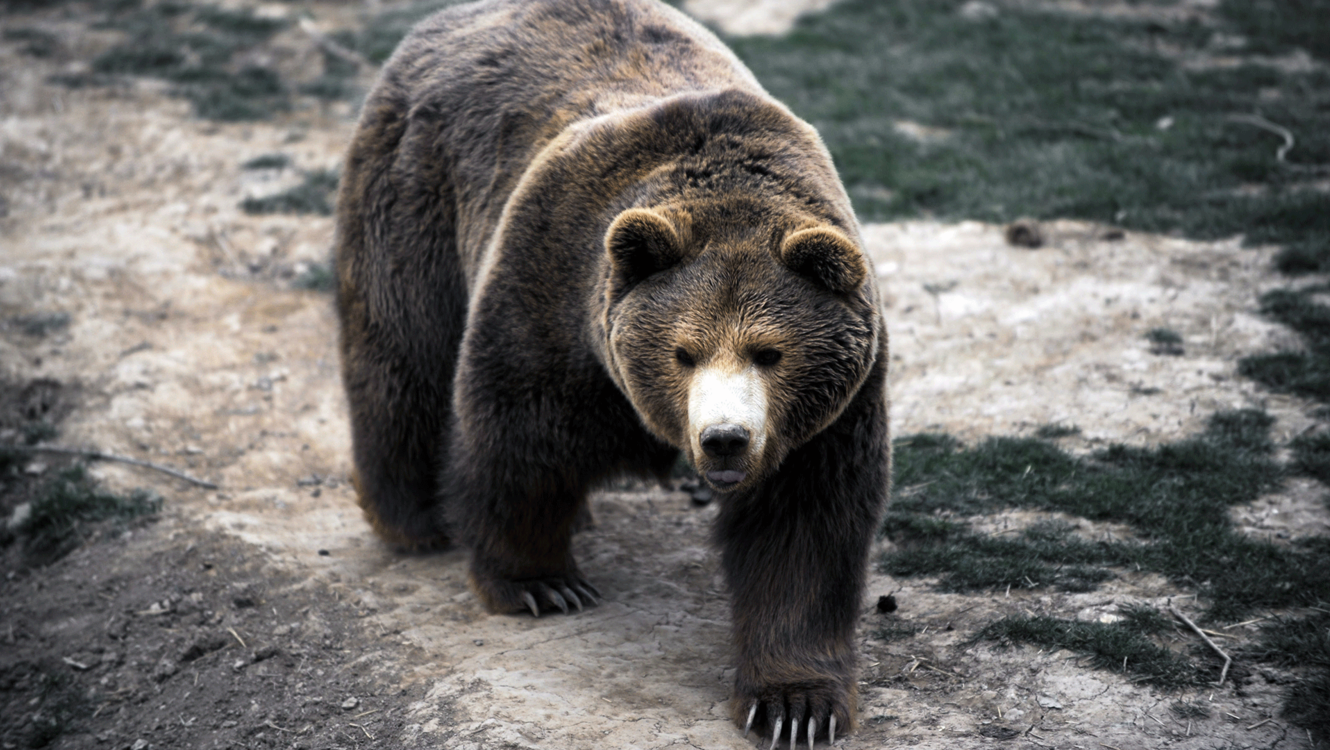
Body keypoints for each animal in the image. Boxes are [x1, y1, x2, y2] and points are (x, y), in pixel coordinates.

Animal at [335, 0, 893, 739]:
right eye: (683, 351)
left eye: (769, 352)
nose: (724, 439)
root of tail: (446, 20)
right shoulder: (558, 292)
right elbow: (520, 436)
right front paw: (540, 581)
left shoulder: (827, 413)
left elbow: (803, 530)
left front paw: (794, 706)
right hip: (417, 192)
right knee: (403, 353)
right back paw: (416, 515)